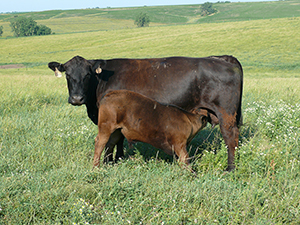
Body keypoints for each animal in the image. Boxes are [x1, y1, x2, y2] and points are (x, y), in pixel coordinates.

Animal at [48, 55, 243, 171]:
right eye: (68, 75)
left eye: (87, 75)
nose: (76, 98)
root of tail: (223, 58)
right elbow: (117, 139)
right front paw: (116, 159)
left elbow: (115, 139)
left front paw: (113, 159)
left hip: (225, 113)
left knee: (230, 137)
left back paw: (230, 168)